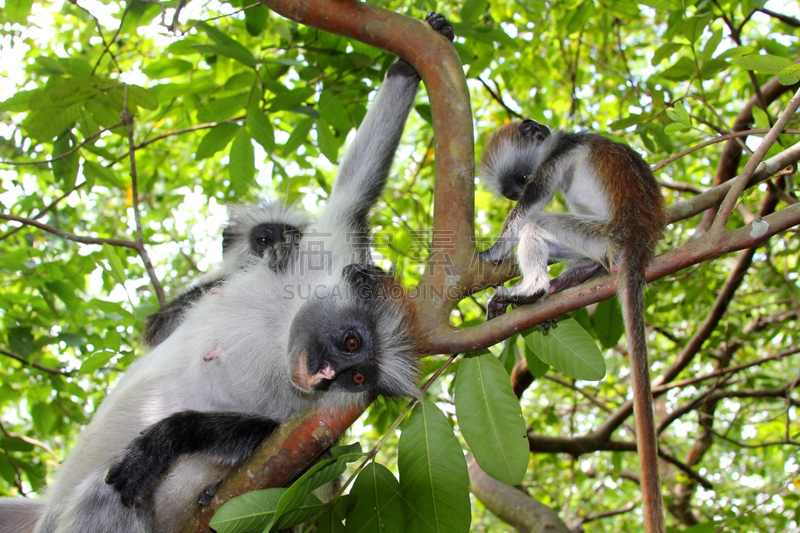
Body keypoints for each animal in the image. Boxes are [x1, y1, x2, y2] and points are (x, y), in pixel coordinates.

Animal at [478, 119, 664, 532]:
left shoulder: (558, 154)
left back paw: (535, 289)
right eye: (512, 188)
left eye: (523, 179)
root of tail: (638, 240)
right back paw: (569, 283)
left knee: (537, 222)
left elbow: (528, 209)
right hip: (597, 242)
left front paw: (488, 253)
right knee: (579, 251)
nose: (518, 190)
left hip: (602, 235)